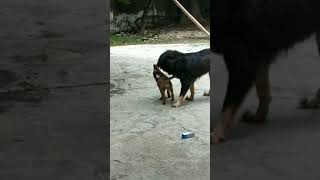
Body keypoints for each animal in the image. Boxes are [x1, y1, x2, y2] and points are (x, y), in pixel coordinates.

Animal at [211, 0, 320, 143]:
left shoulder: (241, 60)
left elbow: (228, 105)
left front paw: (217, 133)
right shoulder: (257, 55)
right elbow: (263, 91)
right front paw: (259, 117)